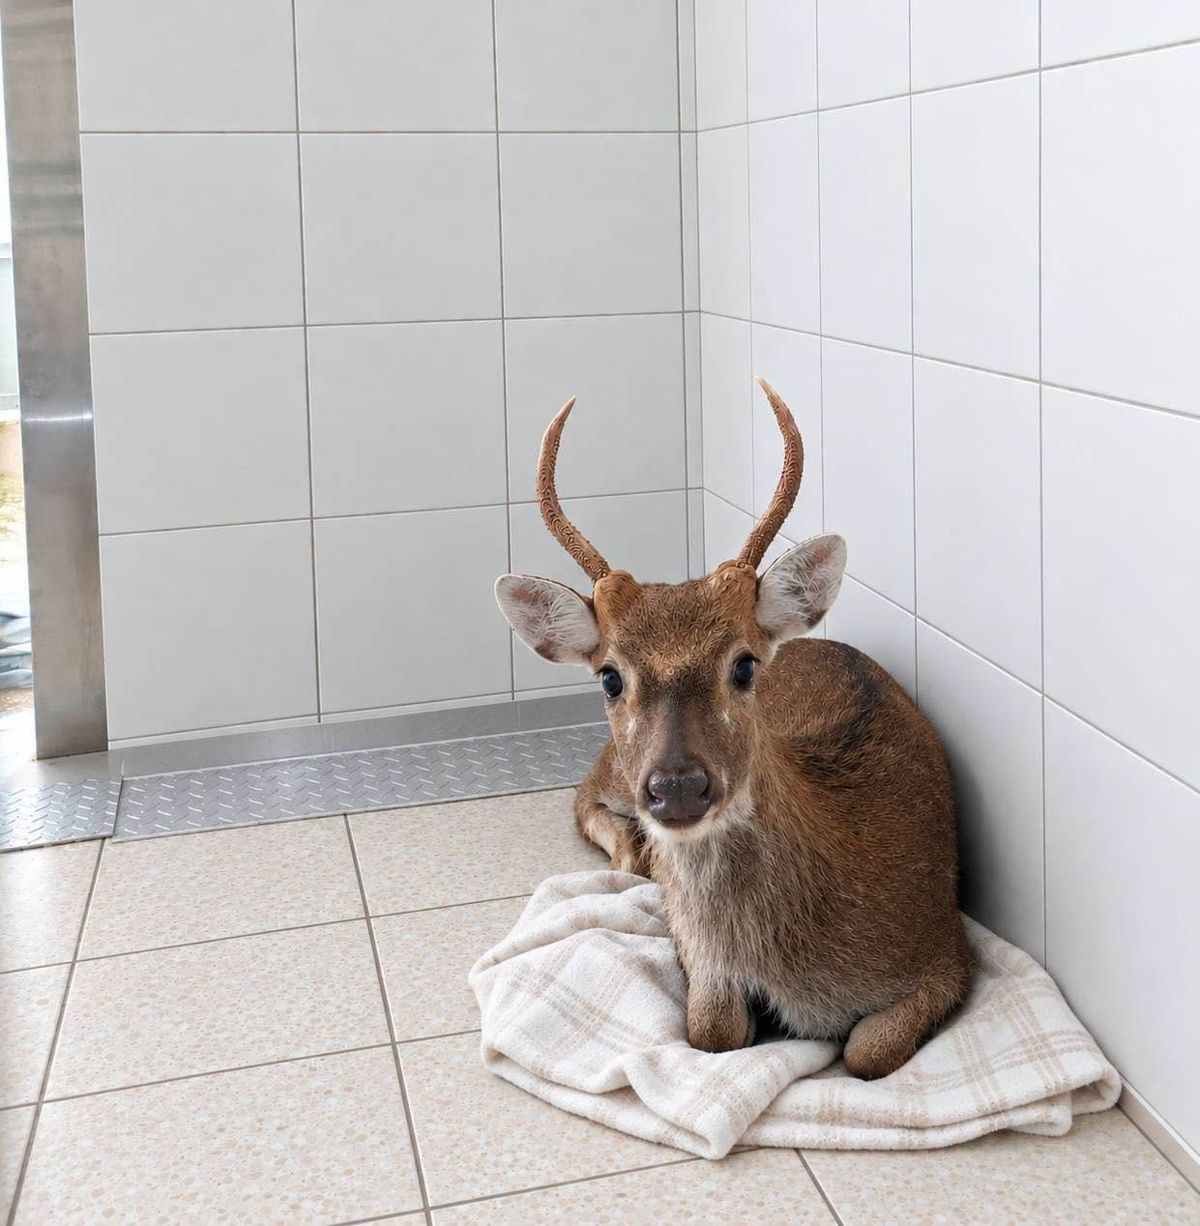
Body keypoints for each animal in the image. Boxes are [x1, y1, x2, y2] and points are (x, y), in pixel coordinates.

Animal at [494, 379, 970, 1080]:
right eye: (609, 676)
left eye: (744, 664)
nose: (676, 787)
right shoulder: (707, 969)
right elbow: (712, 1031)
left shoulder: (945, 946)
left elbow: (865, 1052)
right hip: (615, 770)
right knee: (583, 797)